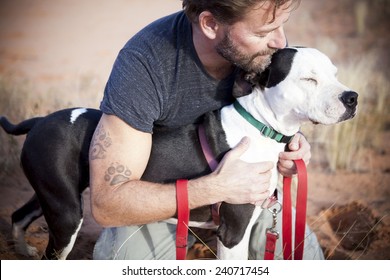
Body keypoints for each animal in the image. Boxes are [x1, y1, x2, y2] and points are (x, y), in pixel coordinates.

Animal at [0, 47, 360, 260]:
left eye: (335, 73)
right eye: (309, 79)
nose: (352, 97)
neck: (260, 125)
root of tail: (38, 121)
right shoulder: (233, 231)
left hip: (52, 194)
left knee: (18, 216)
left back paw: (22, 250)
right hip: (66, 212)